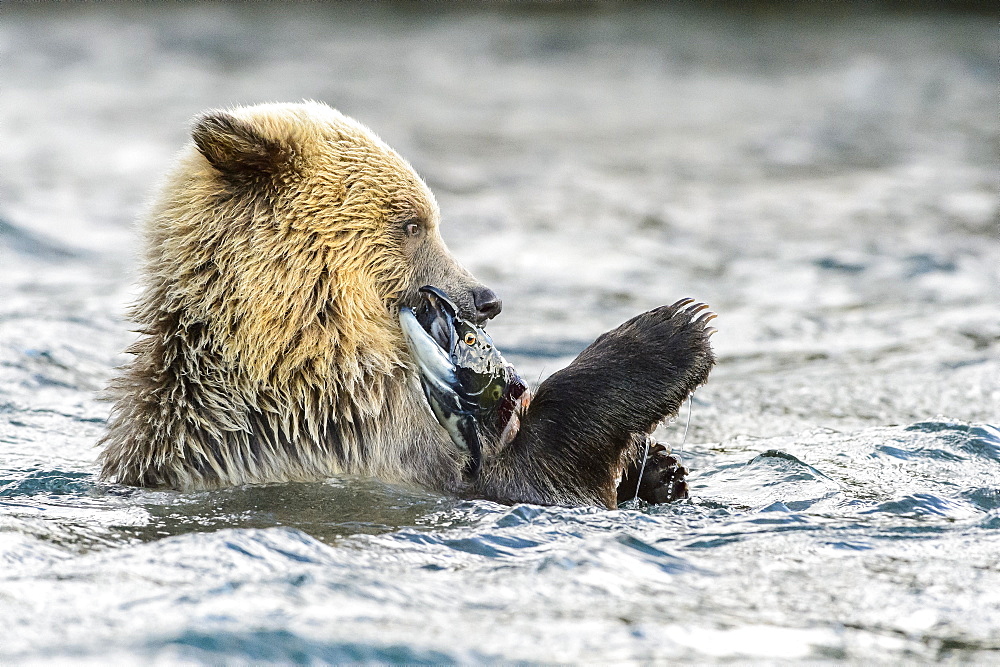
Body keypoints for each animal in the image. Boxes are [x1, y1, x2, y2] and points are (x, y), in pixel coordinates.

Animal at [99, 102, 712, 506]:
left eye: (427, 218)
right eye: (412, 224)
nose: (485, 299)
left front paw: (661, 468)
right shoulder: (342, 438)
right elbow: (531, 477)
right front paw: (673, 333)